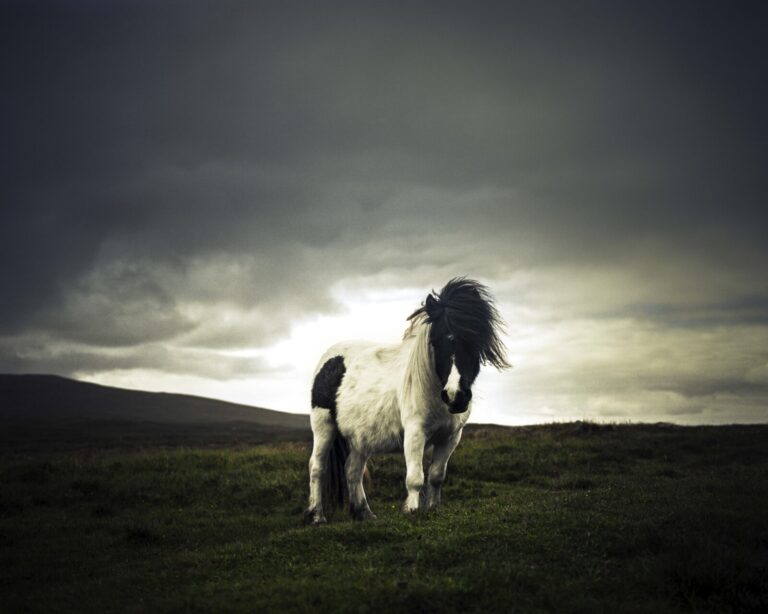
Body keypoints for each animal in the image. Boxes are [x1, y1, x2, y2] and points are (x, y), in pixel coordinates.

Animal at [304, 277, 510, 524]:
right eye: (436, 342)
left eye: (473, 340)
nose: (455, 395)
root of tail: (329, 357)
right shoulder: (415, 432)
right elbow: (415, 477)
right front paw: (411, 510)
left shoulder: (451, 437)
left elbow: (436, 476)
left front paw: (433, 508)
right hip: (323, 425)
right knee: (317, 467)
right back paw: (317, 516)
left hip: (360, 437)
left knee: (352, 470)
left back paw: (365, 513)